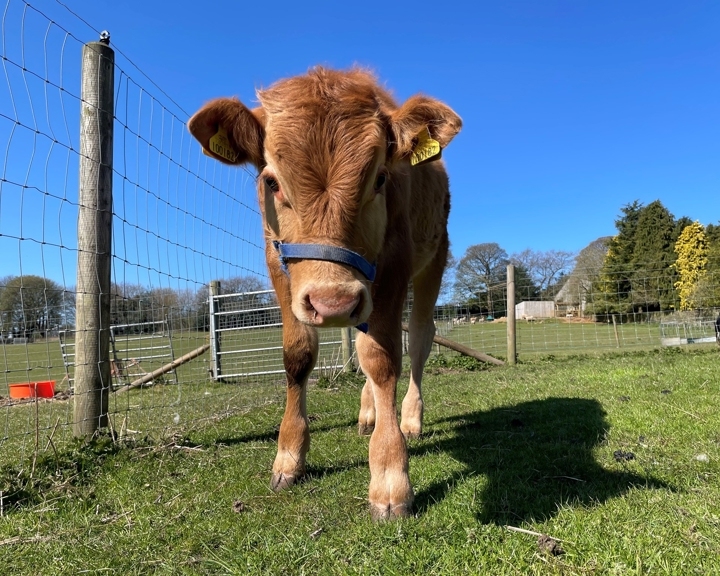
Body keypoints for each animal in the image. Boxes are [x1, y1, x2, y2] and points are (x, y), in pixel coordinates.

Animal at [188, 67, 461, 520]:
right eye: (272, 182)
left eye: (380, 178)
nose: (333, 303)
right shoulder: (279, 264)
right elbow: (298, 356)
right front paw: (289, 457)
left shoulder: (395, 262)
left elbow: (382, 359)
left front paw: (390, 476)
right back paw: (368, 413)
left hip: (432, 260)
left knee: (419, 339)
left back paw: (409, 418)